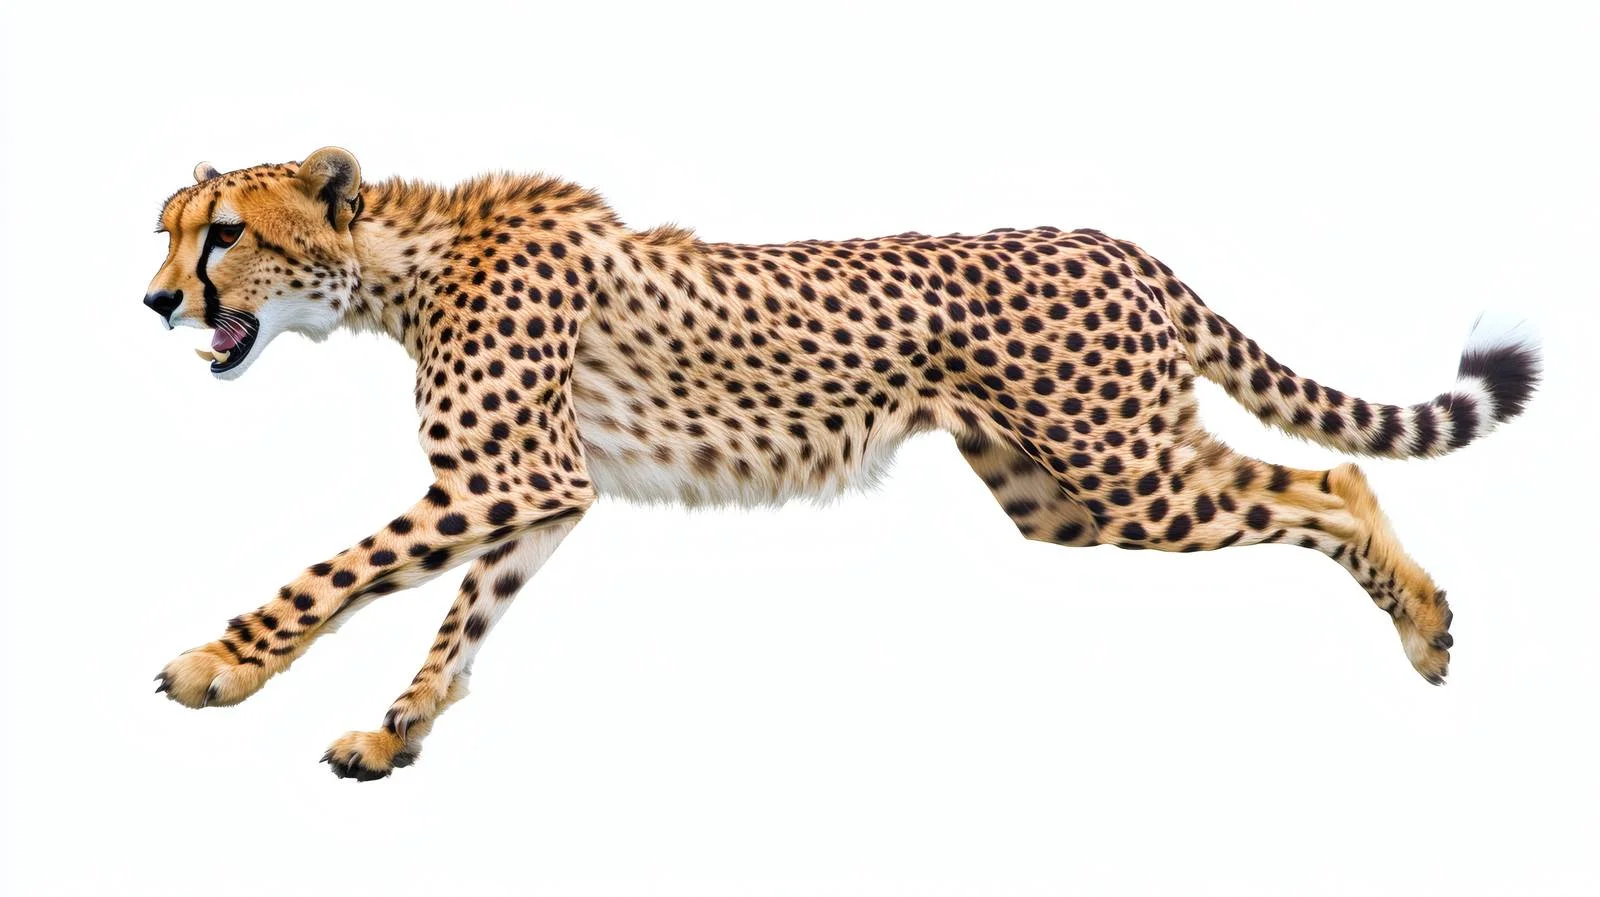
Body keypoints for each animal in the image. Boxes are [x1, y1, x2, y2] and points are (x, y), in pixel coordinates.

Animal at [144, 148, 1541, 780]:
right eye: (166, 231)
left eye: (224, 235)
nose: (154, 303)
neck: (399, 263)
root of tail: (1121, 243)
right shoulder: (542, 494)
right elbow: (460, 618)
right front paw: (399, 730)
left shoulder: (501, 480)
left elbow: (336, 573)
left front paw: (218, 664)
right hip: (1072, 491)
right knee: (1306, 482)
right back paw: (1422, 619)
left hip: (1120, 467)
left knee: (1334, 483)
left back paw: (1425, 624)